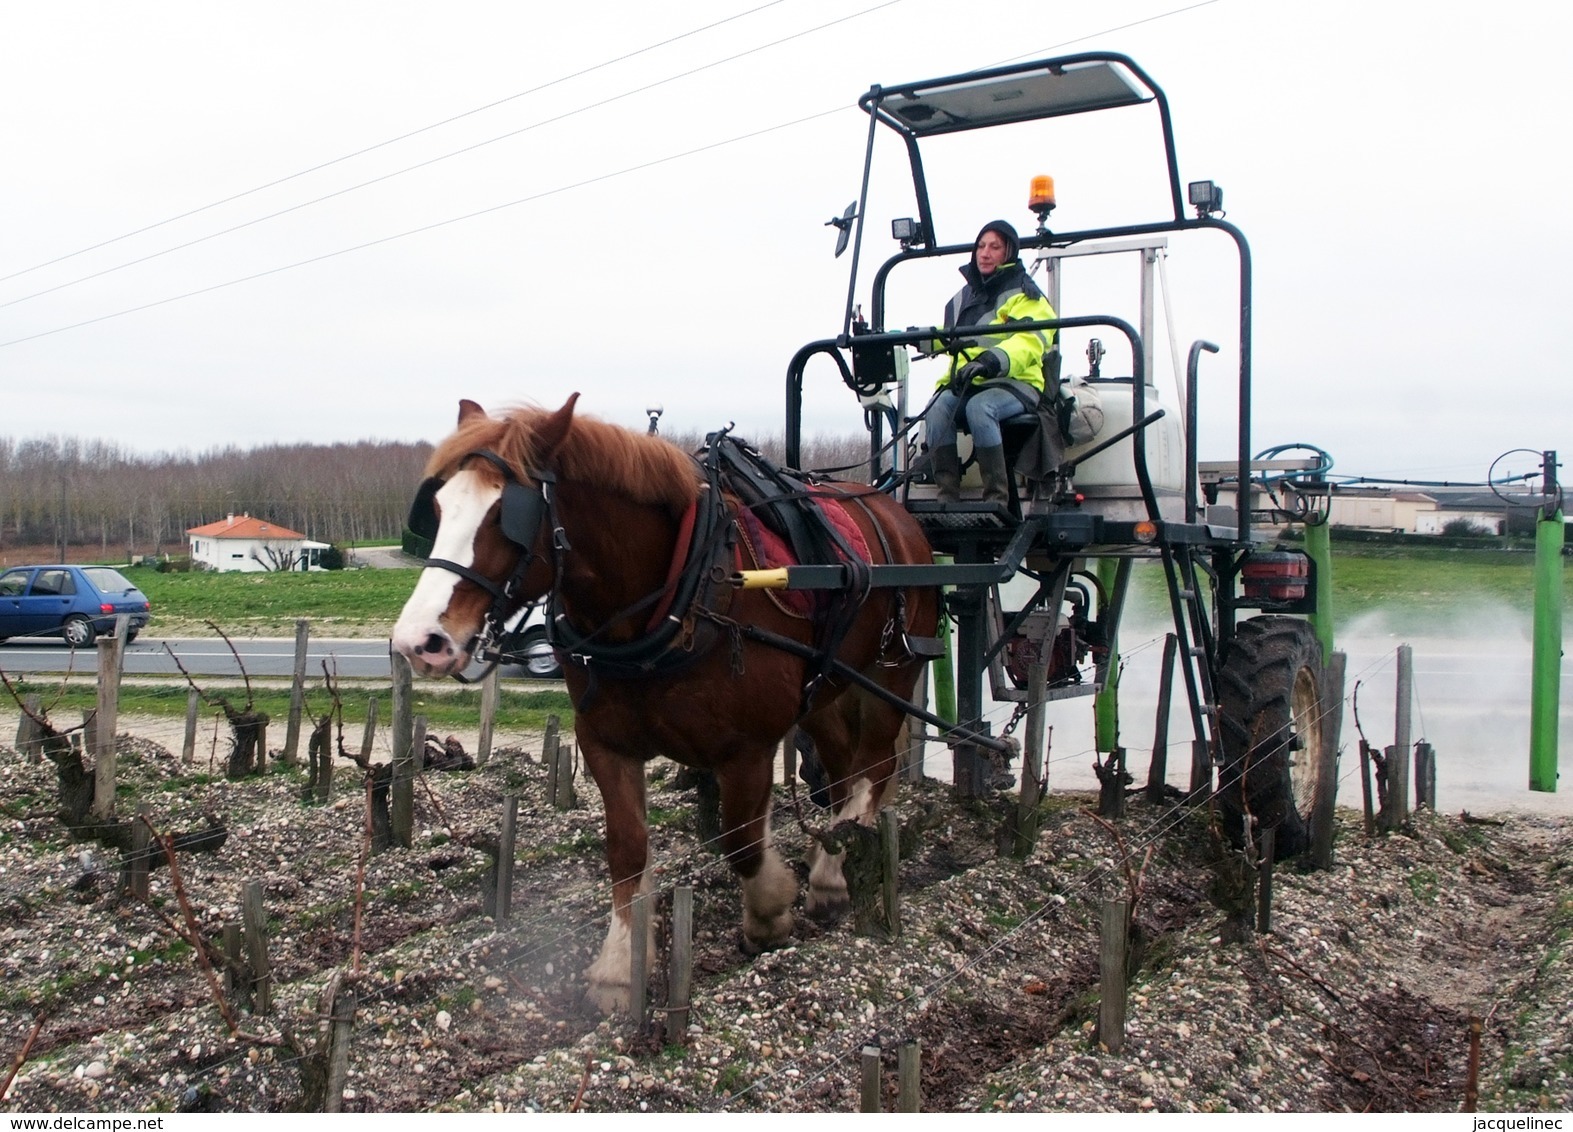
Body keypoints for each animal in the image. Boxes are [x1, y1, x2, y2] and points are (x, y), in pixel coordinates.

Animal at [388, 396, 937, 1006]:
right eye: (439, 508)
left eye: (507, 515)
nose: (419, 642)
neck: (674, 597)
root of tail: (891, 509)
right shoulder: (604, 743)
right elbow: (626, 849)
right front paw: (619, 965)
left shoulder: (747, 749)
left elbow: (742, 840)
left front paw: (768, 914)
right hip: (823, 691)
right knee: (844, 767)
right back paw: (834, 856)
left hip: (892, 673)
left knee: (877, 763)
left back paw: (830, 876)